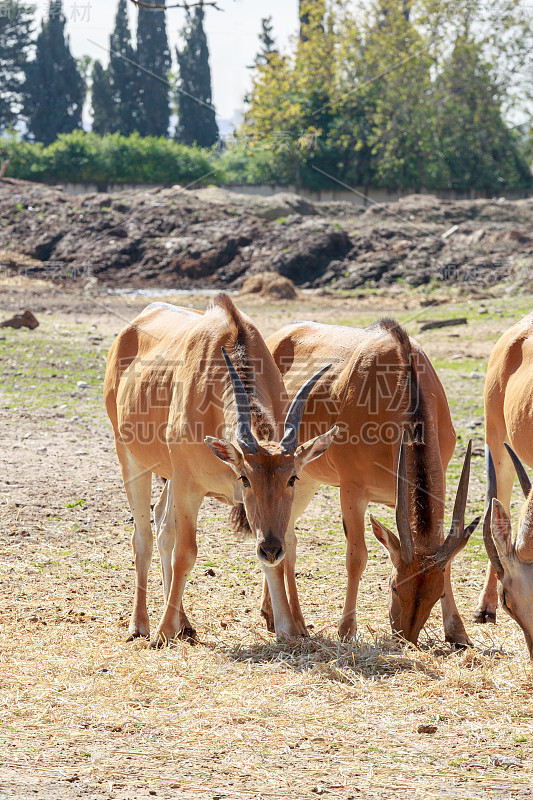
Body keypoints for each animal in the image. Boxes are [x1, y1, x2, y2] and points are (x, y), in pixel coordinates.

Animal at [105, 290, 336, 648]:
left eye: (292, 478)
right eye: (245, 478)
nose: (271, 548)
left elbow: (275, 557)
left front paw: (287, 627)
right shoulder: (189, 487)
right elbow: (186, 553)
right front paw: (162, 631)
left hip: (168, 475)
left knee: (162, 524)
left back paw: (184, 624)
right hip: (132, 459)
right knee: (144, 536)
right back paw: (140, 625)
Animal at [256, 318, 476, 644]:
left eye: (436, 595)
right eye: (394, 586)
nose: (405, 636)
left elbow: (446, 564)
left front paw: (458, 632)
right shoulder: (352, 491)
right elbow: (357, 557)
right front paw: (347, 629)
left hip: (302, 478)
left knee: (286, 537)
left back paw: (279, 617)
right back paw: (291, 622)